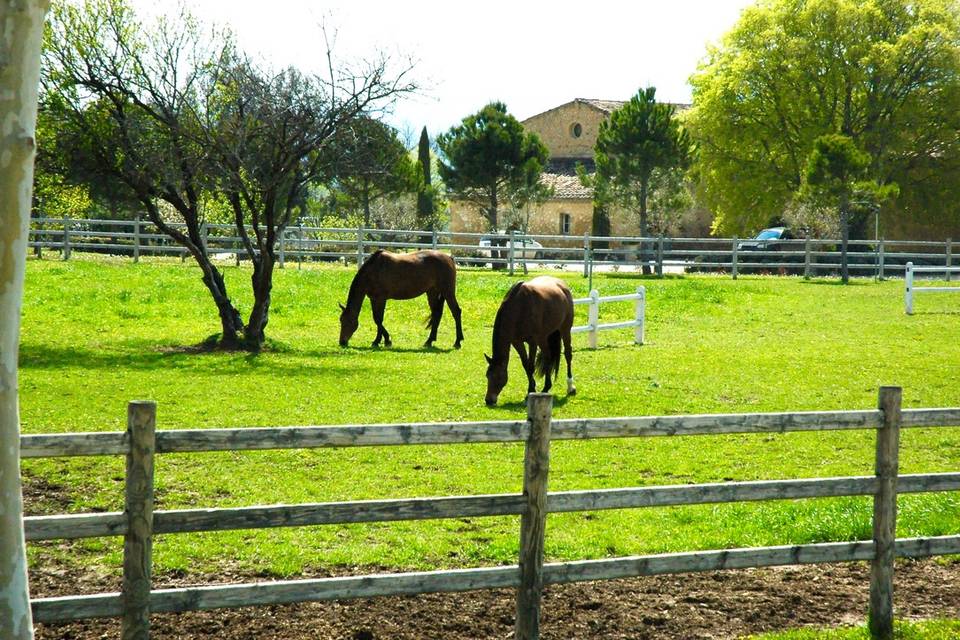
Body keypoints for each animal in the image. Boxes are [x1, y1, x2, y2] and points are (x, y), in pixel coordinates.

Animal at [484, 276, 576, 406]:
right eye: (487, 375)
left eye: (498, 376)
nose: (488, 400)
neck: (519, 308)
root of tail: (563, 286)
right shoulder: (516, 342)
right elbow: (526, 365)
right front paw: (531, 390)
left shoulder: (532, 342)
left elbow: (531, 366)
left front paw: (530, 391)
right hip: (545, 337)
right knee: (548, 356)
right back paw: (546, 387)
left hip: (564, 329)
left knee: (568, 354)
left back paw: (570, 387)